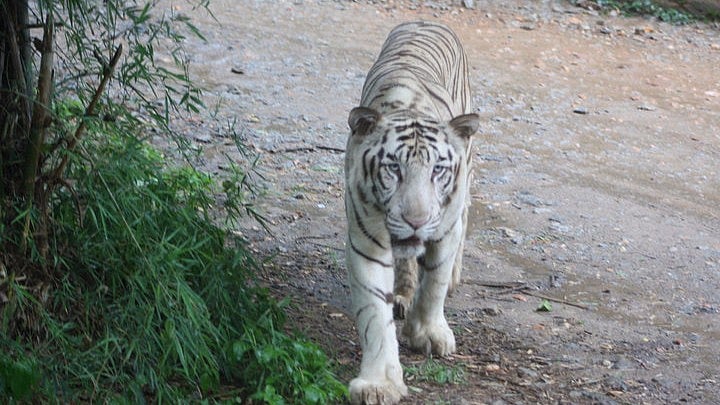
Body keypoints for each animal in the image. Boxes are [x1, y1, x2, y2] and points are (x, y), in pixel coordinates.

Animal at [344, 21, 479, 404]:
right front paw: (378, 383)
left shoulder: (445, 228)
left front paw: (428, 333)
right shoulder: (366, 240)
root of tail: (426, 20)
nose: (415, 222)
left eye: (438, 170)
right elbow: (375, 315)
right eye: (394, 169)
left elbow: (434, 283)